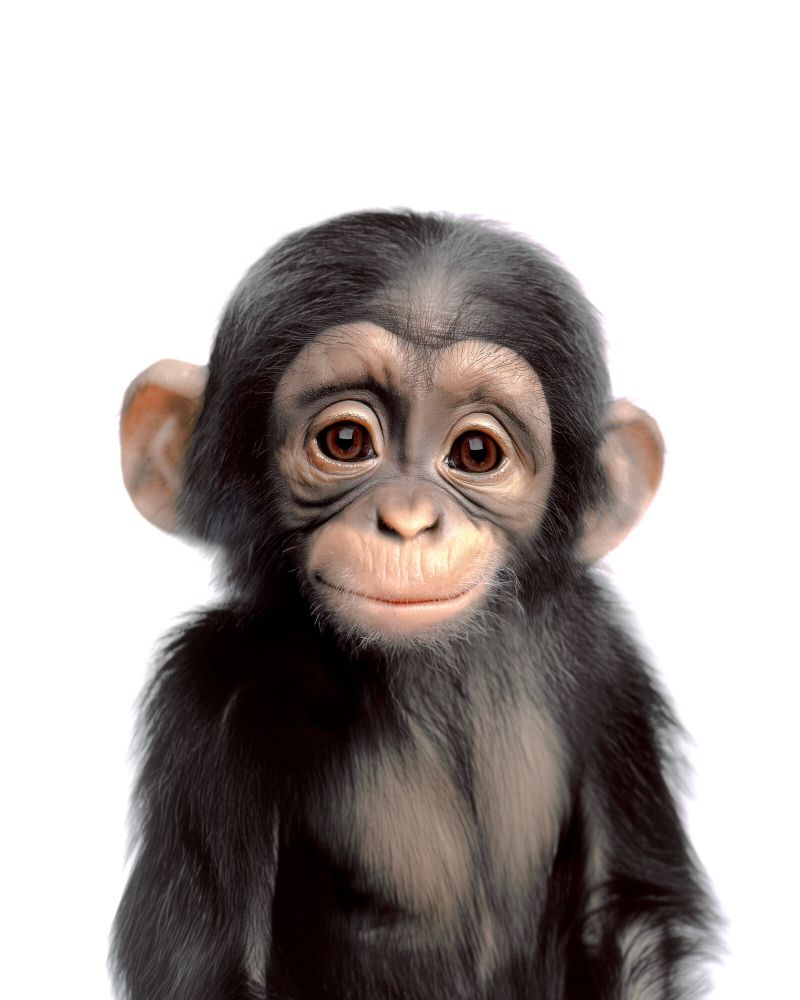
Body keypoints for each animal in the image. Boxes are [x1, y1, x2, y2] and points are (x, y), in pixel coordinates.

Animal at [114, 211, 715, 999]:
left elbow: (627, 910)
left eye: (476, 453)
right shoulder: (207, 701)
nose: (407, 520)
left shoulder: (605, 661)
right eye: (345, 440)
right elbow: (215, 971)